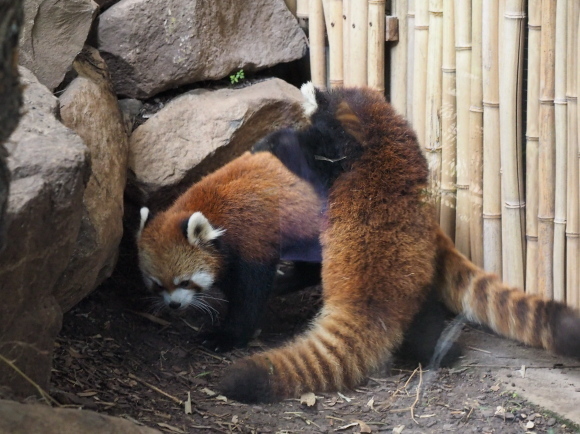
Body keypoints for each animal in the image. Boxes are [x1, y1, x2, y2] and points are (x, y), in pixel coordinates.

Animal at [138, 151, 324, 350]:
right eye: (158, 285)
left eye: (185, 282)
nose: (174, 304)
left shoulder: (252, 244)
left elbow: (249, 297)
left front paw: (227, 337)